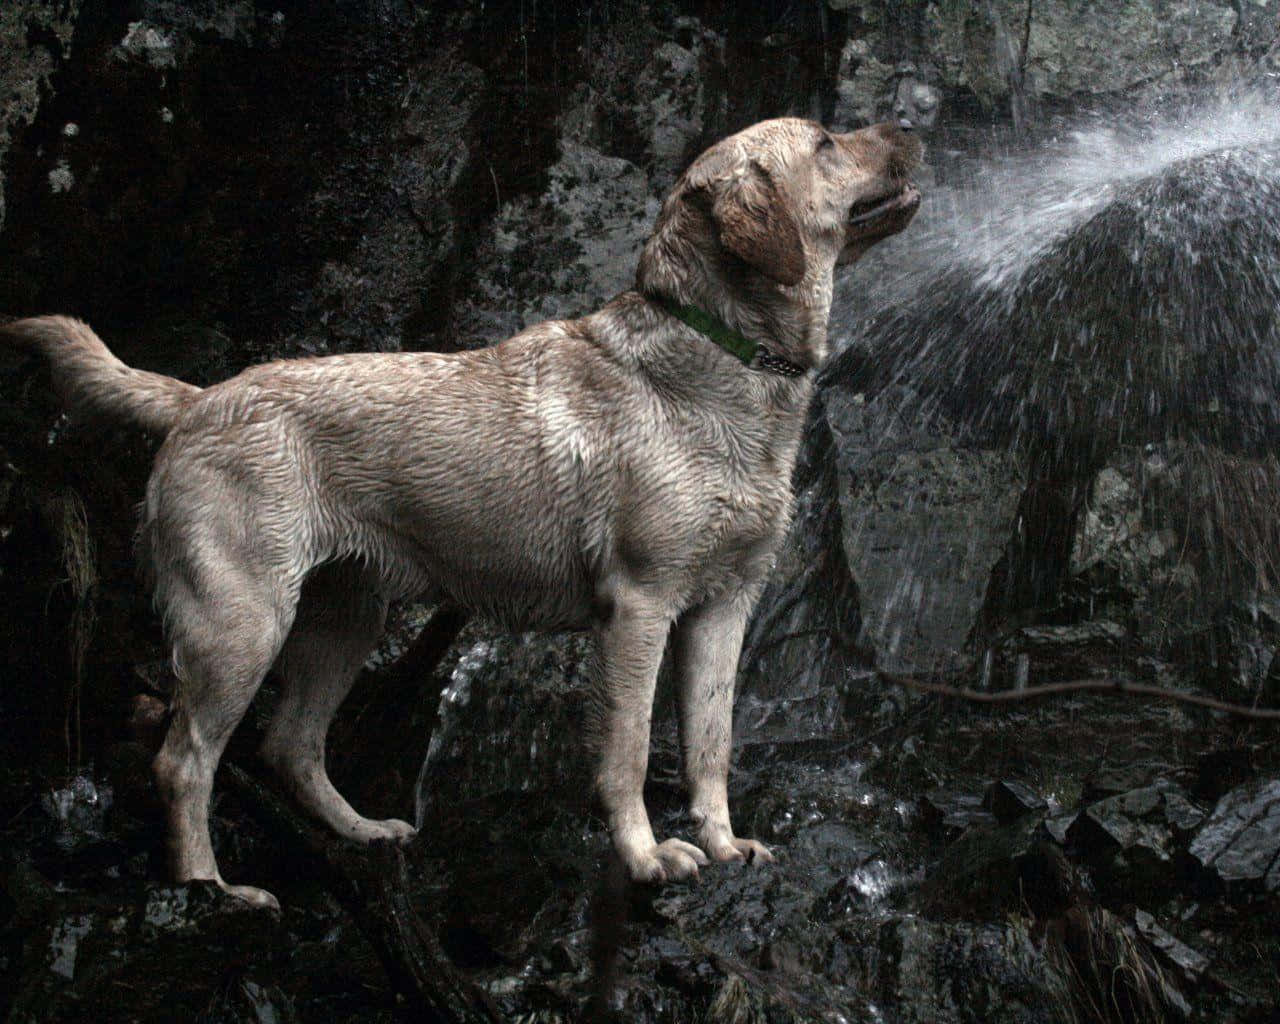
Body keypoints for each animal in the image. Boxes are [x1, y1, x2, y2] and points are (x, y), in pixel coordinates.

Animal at [0, 115, 921, 906]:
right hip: (242, 622)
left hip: (346, 617)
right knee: (186, 761)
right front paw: (646, 856)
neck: (721, 360)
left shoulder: (725, 606)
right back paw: (212, 889)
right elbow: (627, 752)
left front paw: (726, 847)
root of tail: (197, 400)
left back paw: (363, 833)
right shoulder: (639, 606)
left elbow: (710, 742)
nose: (913, 123)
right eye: (827, 141)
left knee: (289, 744)